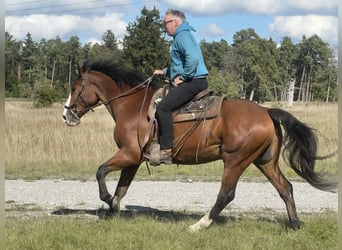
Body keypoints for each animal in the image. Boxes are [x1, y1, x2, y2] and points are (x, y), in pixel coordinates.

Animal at [62, 59, 336, 231]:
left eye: (75, 87)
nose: (66, 115)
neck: (132, 106)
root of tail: (267, 112)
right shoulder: (134, 159)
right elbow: (122, 188)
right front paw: (112, 211)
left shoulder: (128, 154)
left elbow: (101, 172)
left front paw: (107, 201)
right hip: (265, 161)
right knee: (285, 188)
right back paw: (294, 223)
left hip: (235, 160)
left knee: (226, 194)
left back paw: (200, 224)